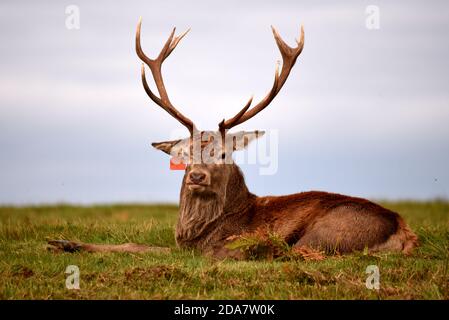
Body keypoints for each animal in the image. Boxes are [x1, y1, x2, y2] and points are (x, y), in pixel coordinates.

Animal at [48, 17, 416, 258]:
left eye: (223, 154)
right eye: (187, 153)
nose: (197, 176)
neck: (195, 235)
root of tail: (403, 229)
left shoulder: (204, 251)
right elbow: (133, 244)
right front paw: (61, 242)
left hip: (330, 231)